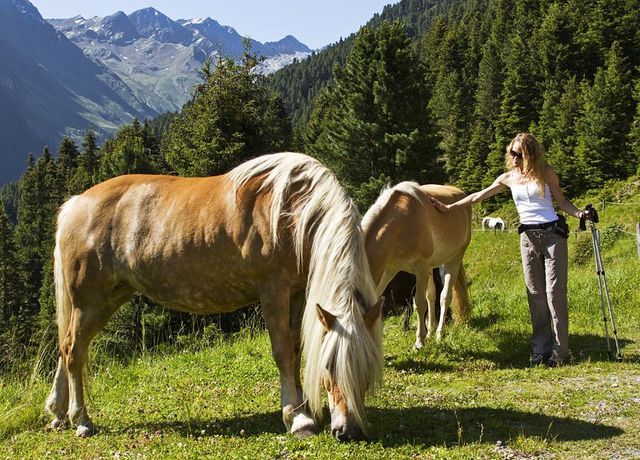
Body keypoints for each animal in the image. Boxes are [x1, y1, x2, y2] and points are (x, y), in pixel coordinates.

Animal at [47, 154, 384, 442]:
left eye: (367, 369)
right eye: (329, 368)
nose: (346, 432)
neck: (292, 212)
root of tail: (75, 205)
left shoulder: (298, 294)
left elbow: (297, 348)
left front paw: (304, 409)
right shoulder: (273, 291)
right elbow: (284, 353)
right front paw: (298, 419)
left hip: (109, 298)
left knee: (67, 347)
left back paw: (58, 413)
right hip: (89, 301)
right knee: (74, 350)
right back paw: (81, 420)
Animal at [362, 181, 472, 346]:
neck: (401, 223)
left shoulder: (420, 268)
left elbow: (419, 303)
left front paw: (419, 341)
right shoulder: (388, 270)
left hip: (453, 260)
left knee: (444, 297)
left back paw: (439, 335)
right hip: (431, 267)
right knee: (432, 296)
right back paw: (431, 331)